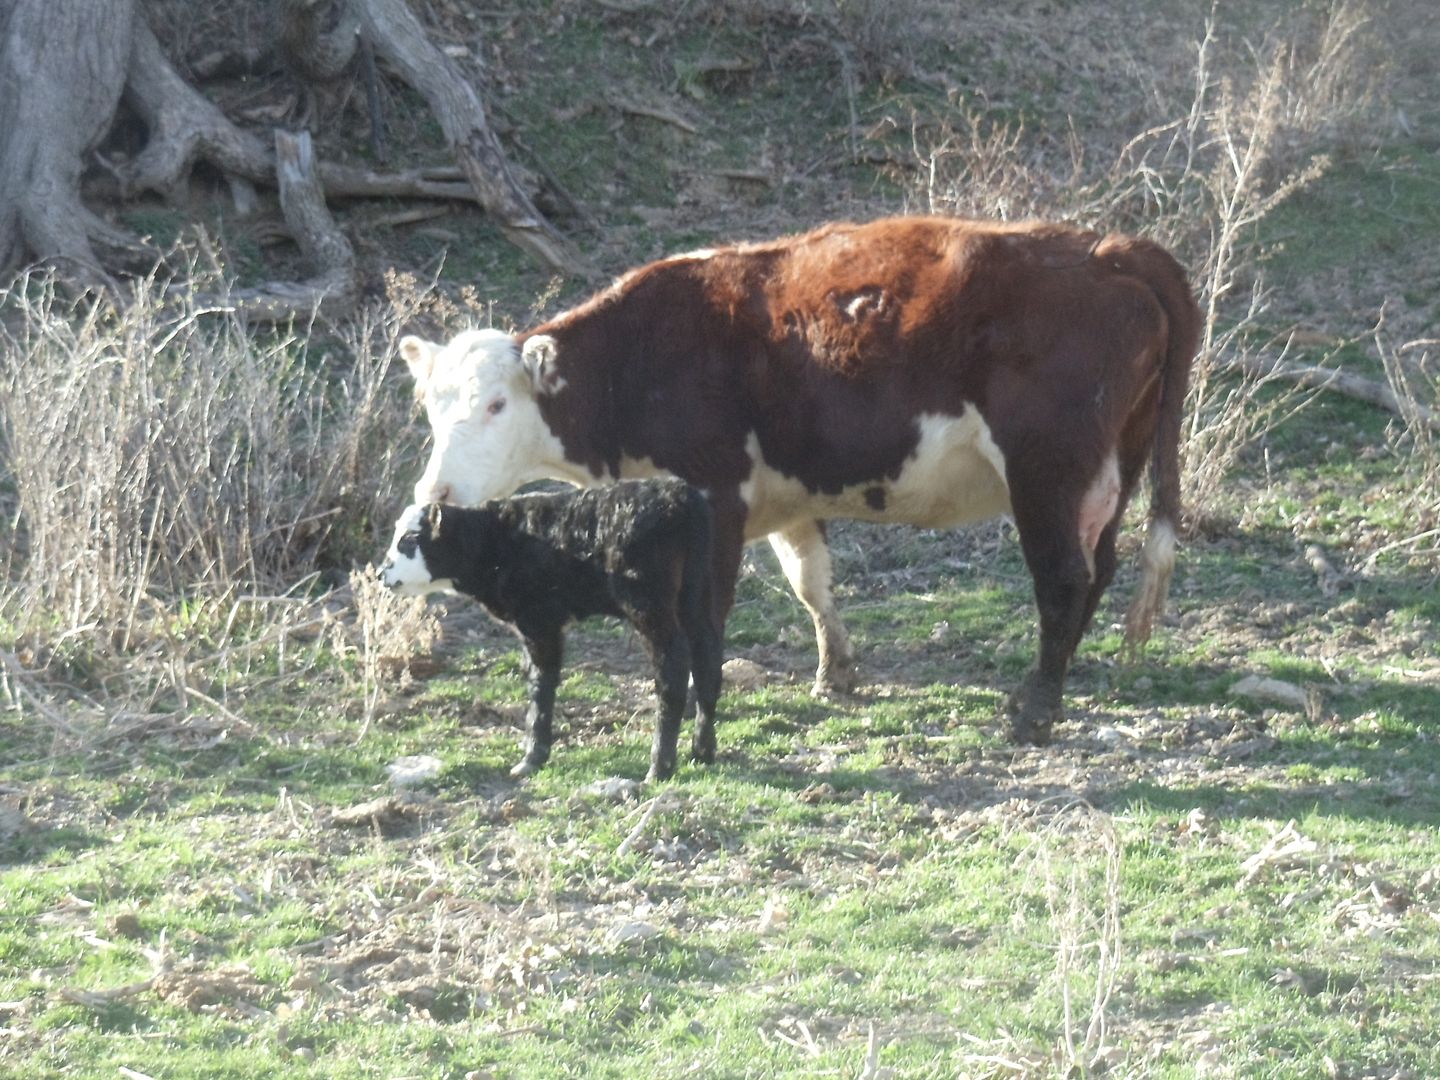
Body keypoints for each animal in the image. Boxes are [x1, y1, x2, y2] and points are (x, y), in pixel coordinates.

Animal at [380, 480, 725, 777]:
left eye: (409, 540)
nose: (382, 573)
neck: (495, 541)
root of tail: (679, 495)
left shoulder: (539, 621)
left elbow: (541, 682)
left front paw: (533, 756)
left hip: (648, 603)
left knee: (673, 666)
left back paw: (659, 767)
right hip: (696, 595)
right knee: (708, 657)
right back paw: (702, 750)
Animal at [400, 216, 1198, 748]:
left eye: (496, 404)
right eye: (431, 406)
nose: (434, 495)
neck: (641, 357)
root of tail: (1112, 249)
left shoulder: (714, 496)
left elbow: (708, 611)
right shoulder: (781, 497)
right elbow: (811, 581)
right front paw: (834, 670)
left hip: (1048, 469)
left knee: (1063, 576)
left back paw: (1035, 707)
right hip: (1112, 466)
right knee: (1098, 567)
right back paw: (1056, 681)